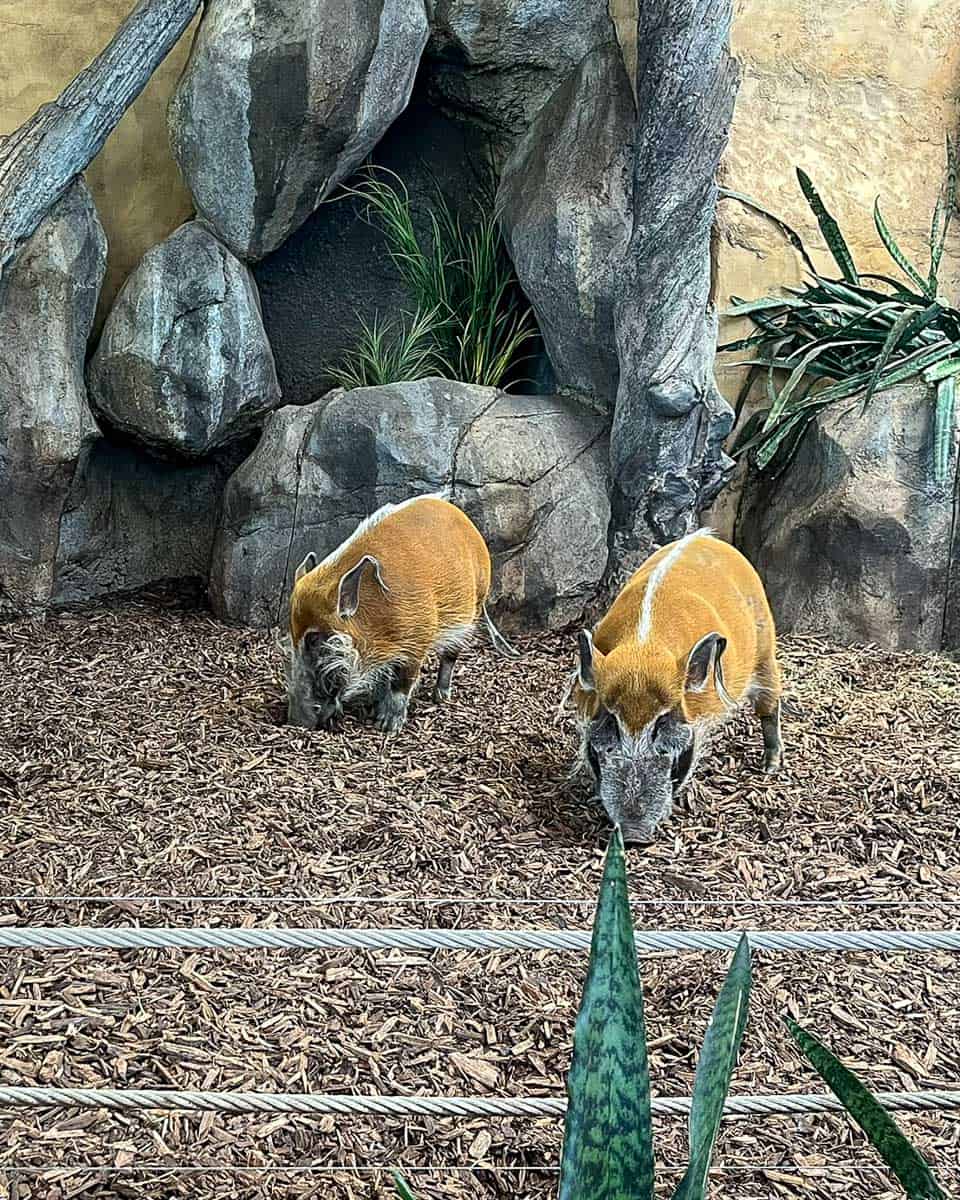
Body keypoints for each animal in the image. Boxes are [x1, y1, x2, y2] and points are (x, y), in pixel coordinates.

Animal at [282, 494, 513, 732]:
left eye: (313, 639)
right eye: (293, 635)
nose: (296, 721)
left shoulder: (418, 640)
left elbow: (402, 683)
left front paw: (386, 726)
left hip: (472, 611)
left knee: (450, 656)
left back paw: (440, 697)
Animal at [566, 529, 782, 844]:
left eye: (663, 721)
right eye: (611, 721)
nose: (633, 835)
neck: (643, 650)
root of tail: (705, 536)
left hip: (765, 649)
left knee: (770, 704)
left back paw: (770, 767)